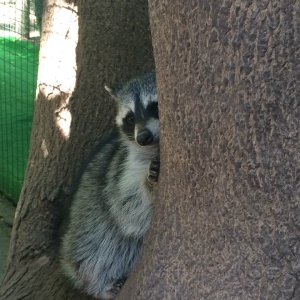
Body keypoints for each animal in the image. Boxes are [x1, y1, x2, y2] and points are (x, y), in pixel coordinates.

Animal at [60, 71, 159, 298]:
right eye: (130, 118)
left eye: (155, 107)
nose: (143, 137)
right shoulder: (123, 170)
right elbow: (130, 209)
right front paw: (149, 186)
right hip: (84, 225)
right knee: (104, 244)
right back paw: (102, 284)